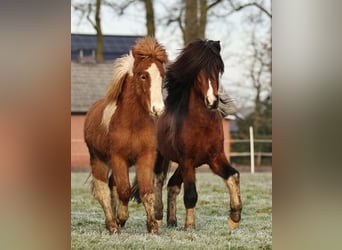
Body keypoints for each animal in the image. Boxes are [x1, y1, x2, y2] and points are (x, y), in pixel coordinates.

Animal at [83, 37, 168, 234]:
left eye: (162, 75)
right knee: (103, 190)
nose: (158, 109)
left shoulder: (145, 157)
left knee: (111, 185)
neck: (132, 123)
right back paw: (112, 224)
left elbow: (146, 191)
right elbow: (124, 190)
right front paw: (120, 219)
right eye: (143, 75)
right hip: (98, 160)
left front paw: (152, 226)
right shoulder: (118, 158)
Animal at [130, 38, 240, 230]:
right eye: (197, 69)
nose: (212, 101)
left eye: (218, 67)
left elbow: (233, 176)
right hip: (163, 157)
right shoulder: (187, 160)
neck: (202, 125)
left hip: (183, 164)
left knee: (172, 185)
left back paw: (172, 221)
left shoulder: (214, 157)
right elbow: (191, 194)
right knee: (159, 180)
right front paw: (190, 226)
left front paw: (235, 216)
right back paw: (158, 216)